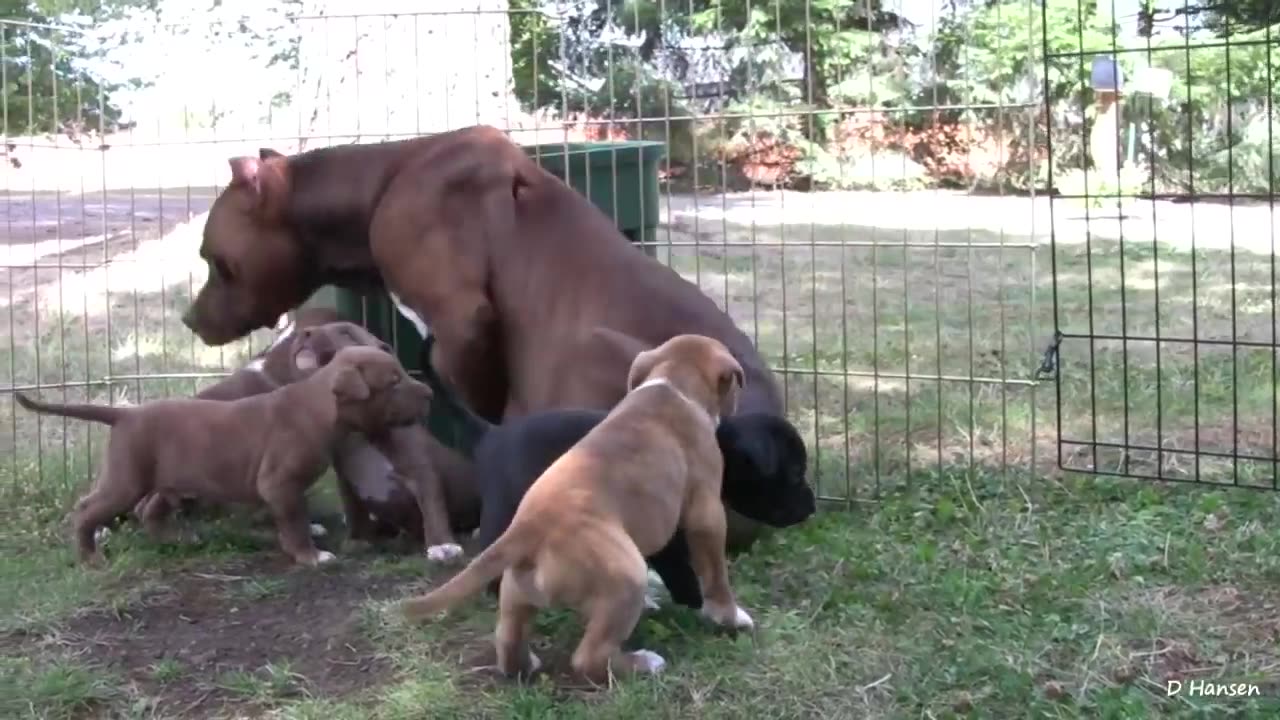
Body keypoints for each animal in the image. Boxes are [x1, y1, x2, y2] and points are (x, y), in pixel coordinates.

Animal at [15, 345, 432, 563]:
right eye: (393, 382)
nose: (429, 393)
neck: (318, 406)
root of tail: (125, 414)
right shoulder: (278, 482)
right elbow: (293, 520)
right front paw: (310, 555)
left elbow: (294, 514)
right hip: (126, 479)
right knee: (87, 509)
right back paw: (89, 557)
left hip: (169, 481)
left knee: (150, 512)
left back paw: (176, 539)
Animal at [404, 333, 752, 681]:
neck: (672, 384)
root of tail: (530, 527)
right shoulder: (707, 515)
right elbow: (715, 574)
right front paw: (729, 616)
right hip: (627, 577)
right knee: (589, 658)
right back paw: (643, 662)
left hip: (516, 590)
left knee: (507, 637)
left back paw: (524, 664)